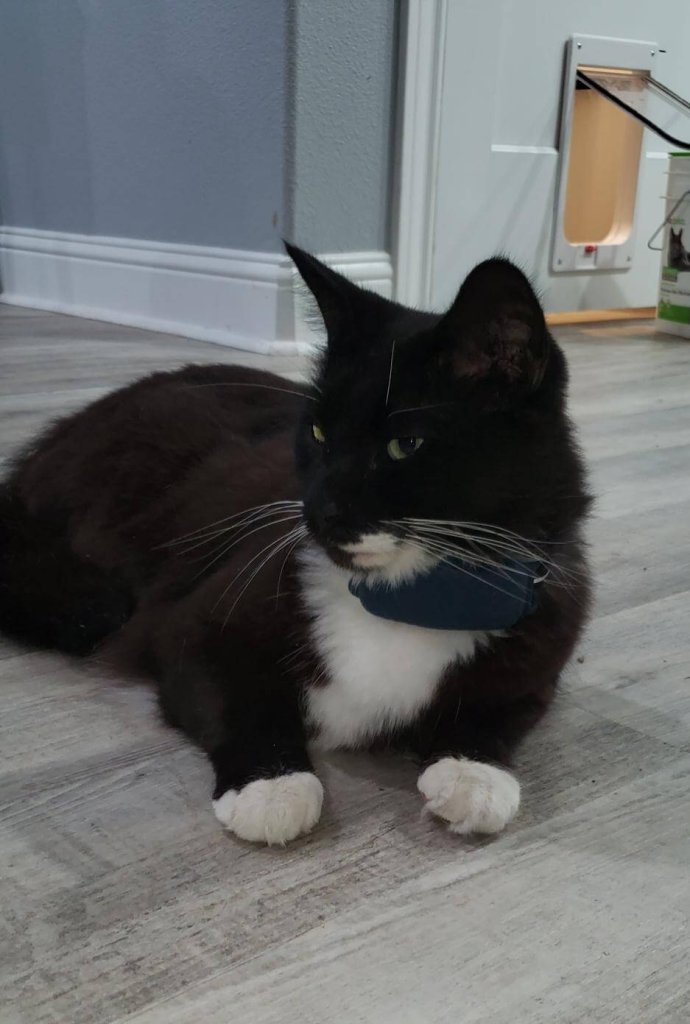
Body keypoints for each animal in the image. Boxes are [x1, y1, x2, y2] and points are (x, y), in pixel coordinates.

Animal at [1, 243, 589, 843]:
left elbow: (500, 710)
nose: (319, 511)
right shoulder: (194, 620)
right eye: (318, 433)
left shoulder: (543, 640)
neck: (407, 599)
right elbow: (236, 690)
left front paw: (475, 774)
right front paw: (271, 785)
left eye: (405, 444)